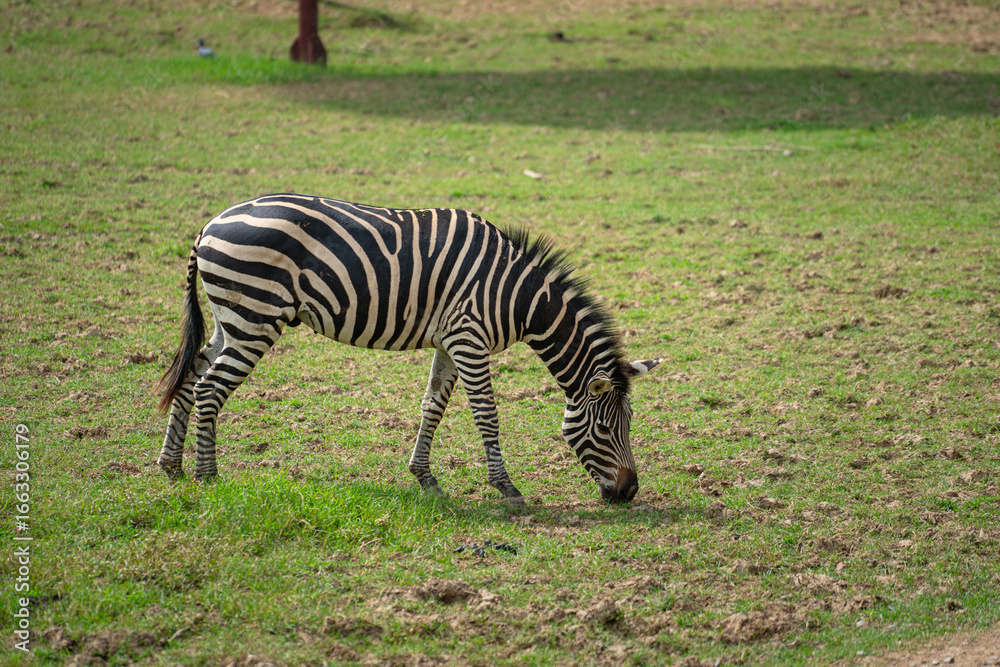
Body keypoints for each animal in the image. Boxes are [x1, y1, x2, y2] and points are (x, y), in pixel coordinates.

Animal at [156, 194, 662, 506]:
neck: (518, 296)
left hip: (230, 319)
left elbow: (432, 405)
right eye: (606, 429)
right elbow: (486, 413)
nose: (630, 492)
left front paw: (425, 477)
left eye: (629, 424)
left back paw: (171, 467)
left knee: (190, 377)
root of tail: (209, 225)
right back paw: (208, 476)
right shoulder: (469, 338)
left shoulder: (451, 340)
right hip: (255, 317)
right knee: (209, 389)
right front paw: (507, 487)